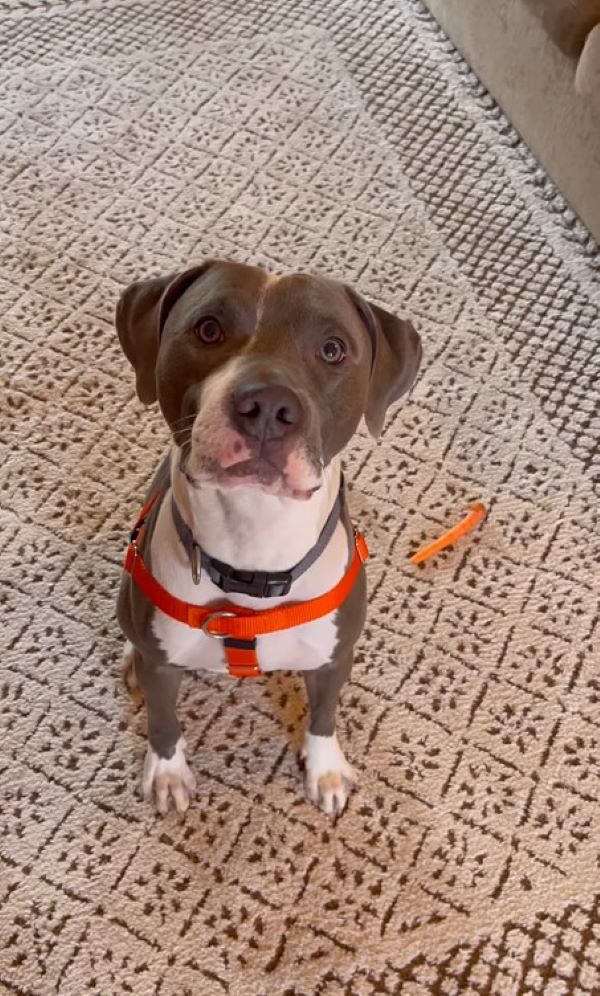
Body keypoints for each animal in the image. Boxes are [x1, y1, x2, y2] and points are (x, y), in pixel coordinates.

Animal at [115, 256, 420, 816]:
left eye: (333, 349)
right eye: (208, 329)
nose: (268, 407)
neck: (252, 546)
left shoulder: (333, 657)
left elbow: (323, 715)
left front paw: (324, 770)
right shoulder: (163, 666)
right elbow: (164, 721)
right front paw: (167, 772)